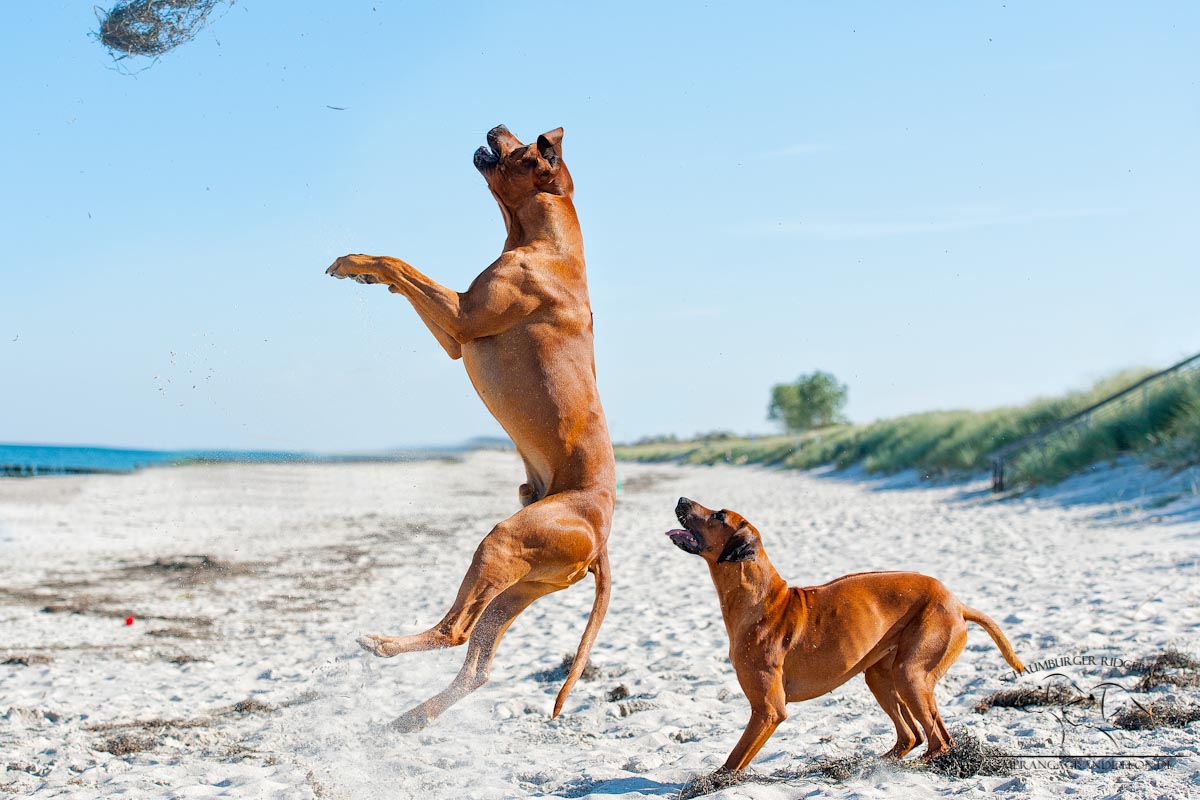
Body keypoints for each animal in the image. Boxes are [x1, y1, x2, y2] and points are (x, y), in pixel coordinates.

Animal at [326, 125, 614, 734]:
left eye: (524, 148)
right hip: (522, 582)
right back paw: (409, 719)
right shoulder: (453, 335)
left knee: (455, 631)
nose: (495, 126)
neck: (545, 242)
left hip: (503, 542)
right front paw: (364, 270)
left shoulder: (461, 317)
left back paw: (384, 647)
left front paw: (353, 260)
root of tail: (602, 540)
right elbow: (404, 278)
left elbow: (399, 262)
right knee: (476, 665)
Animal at [667, 496, 1022, 772]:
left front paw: (706, 785)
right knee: (914, 735)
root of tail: (958, 603)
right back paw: (879, 763)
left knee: (939, 740)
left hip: (910, 674)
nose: (682, 499)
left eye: (718, 515)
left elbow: (733, 761)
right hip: (882, 675)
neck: (763, 600)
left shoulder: (768, 711)